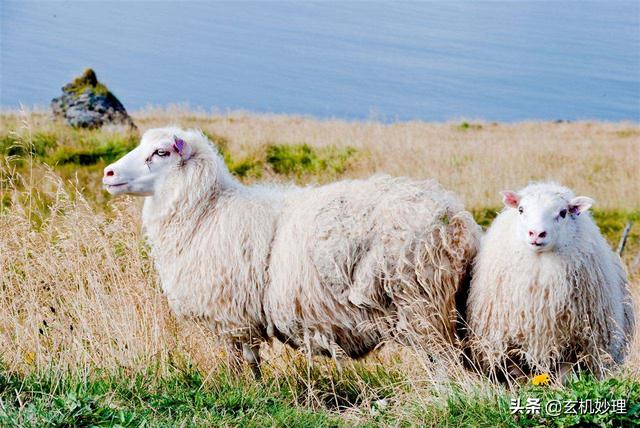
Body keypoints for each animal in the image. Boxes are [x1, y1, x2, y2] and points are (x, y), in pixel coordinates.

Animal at [101, 126, 480, 372]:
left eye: (160, 153)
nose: (109, 173)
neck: (206, 212)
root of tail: (459, 222)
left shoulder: (232, 316)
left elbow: (242, 363)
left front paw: (244, 393)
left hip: (419, 305)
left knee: (446, 366)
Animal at [464, 182, 636, 380]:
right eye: (521, 209)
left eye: (563, 212)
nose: (536, 233)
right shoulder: (507, 346)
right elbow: (517, 376)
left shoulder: (577, 345)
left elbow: (565, 376)